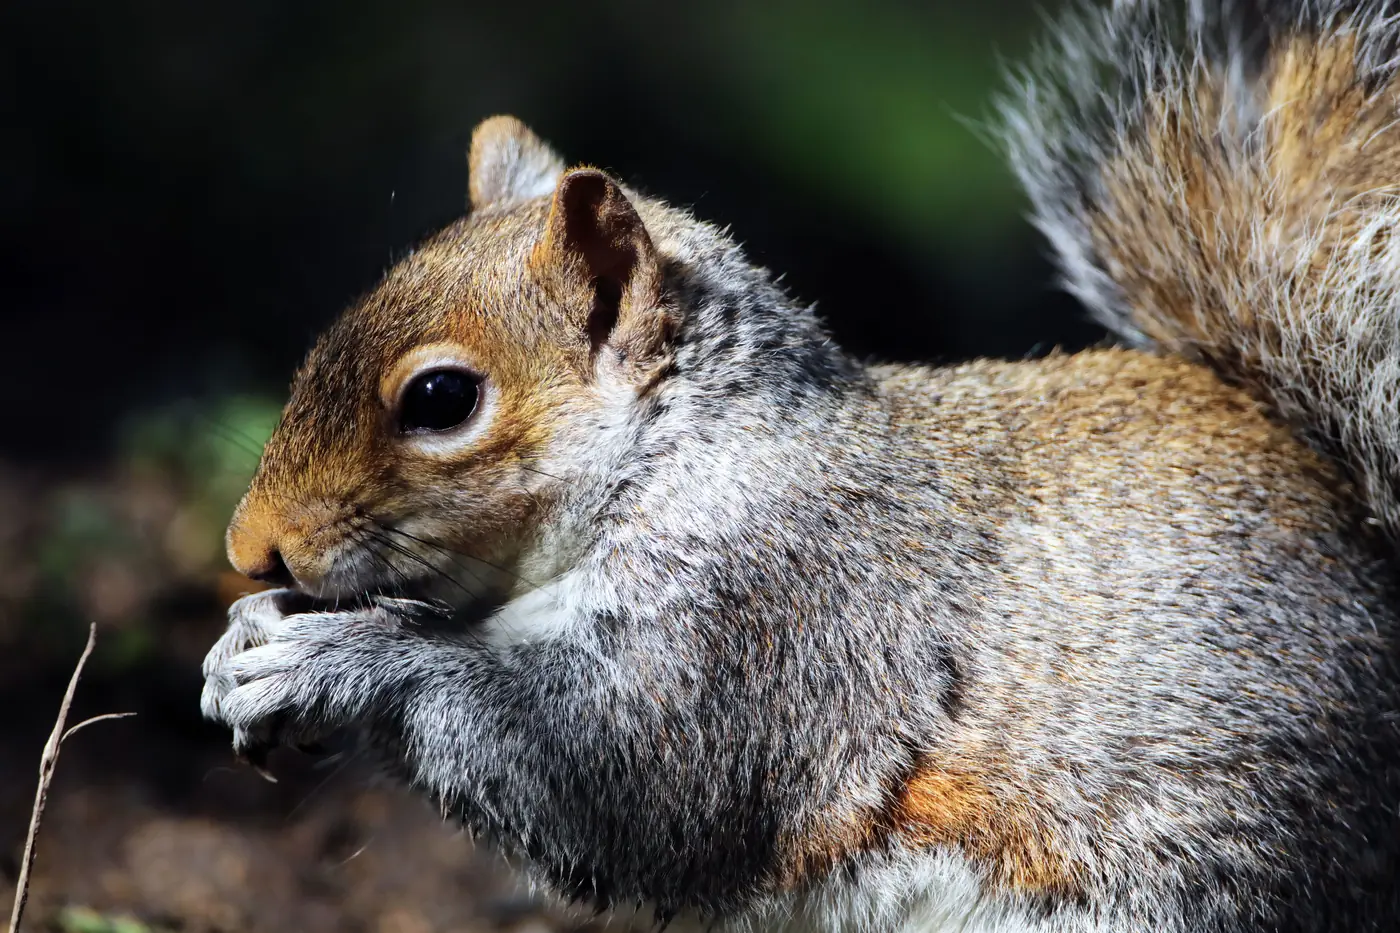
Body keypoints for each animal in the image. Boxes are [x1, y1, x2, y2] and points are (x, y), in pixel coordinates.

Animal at [200, 0, 1400, 930]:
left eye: (441, 399)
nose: (248, 550)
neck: (693, 450)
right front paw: (244, 641)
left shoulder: (782, 610)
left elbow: (621, 778)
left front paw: (337, 659)